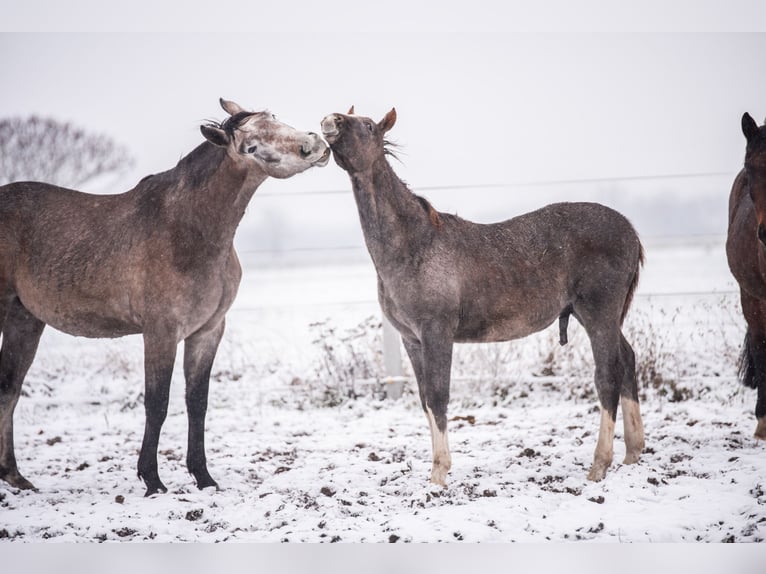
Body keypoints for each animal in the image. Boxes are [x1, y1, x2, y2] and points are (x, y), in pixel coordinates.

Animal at [0, 98, 330, 496]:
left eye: (275, 117)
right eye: (250, 147)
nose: (314, 144)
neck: (187, 229)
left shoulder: (207, 331)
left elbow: (197, 402)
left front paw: (203, 477)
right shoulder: (161, 332)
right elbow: (157, 403)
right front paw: (153, 480)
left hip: (24, 320)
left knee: (9, 389)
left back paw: (15, 476)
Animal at [321, 107, 645, 485]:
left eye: (369, 126)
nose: (331, 120)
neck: (414, 244)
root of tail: (630, 231)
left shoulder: (437, 333)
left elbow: (439, 396)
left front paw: (439, 474)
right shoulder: (411, 340)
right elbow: (425, 399)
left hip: (597, 315)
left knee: (607, 376)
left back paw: (599, 465)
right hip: (597, 317)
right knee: (627, 362)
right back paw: (633, 453)